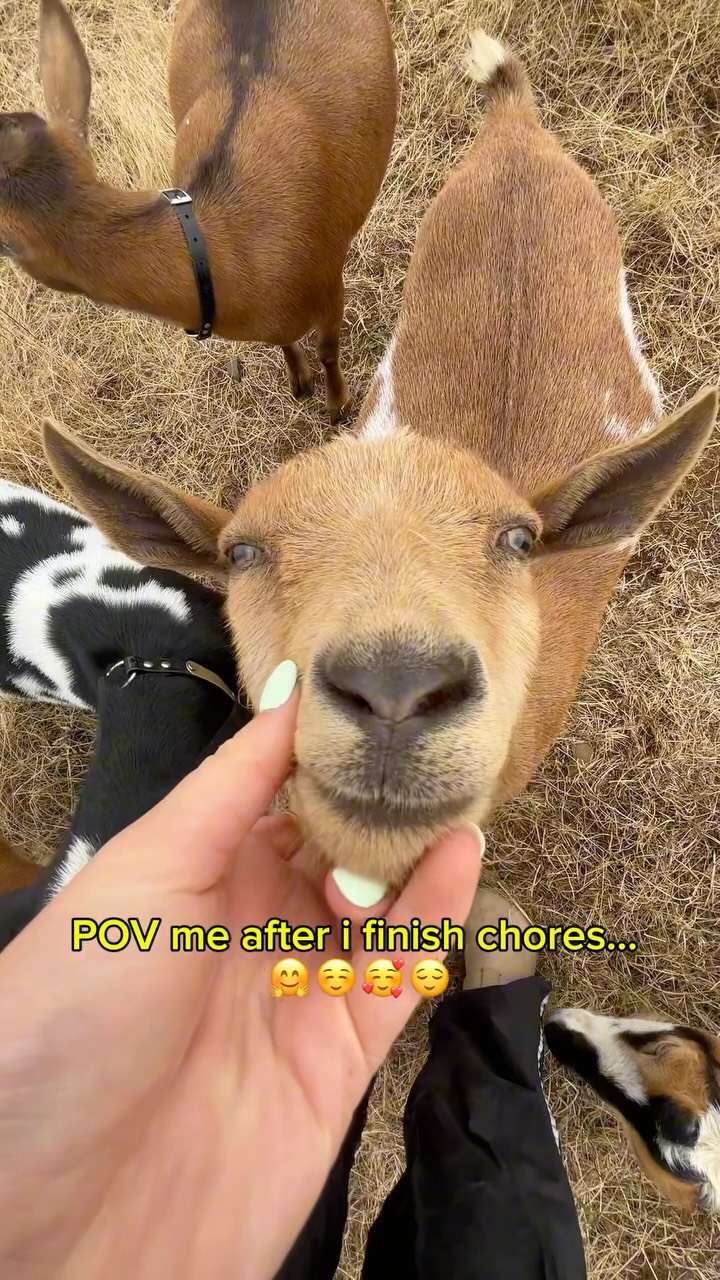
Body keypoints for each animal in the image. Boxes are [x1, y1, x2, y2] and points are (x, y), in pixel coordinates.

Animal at [0, 0, 398, 422]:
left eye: (6, 245)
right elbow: (286, 343)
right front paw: (299, 385)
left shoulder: (330, 281)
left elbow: (328, 350)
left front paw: (339, 407)